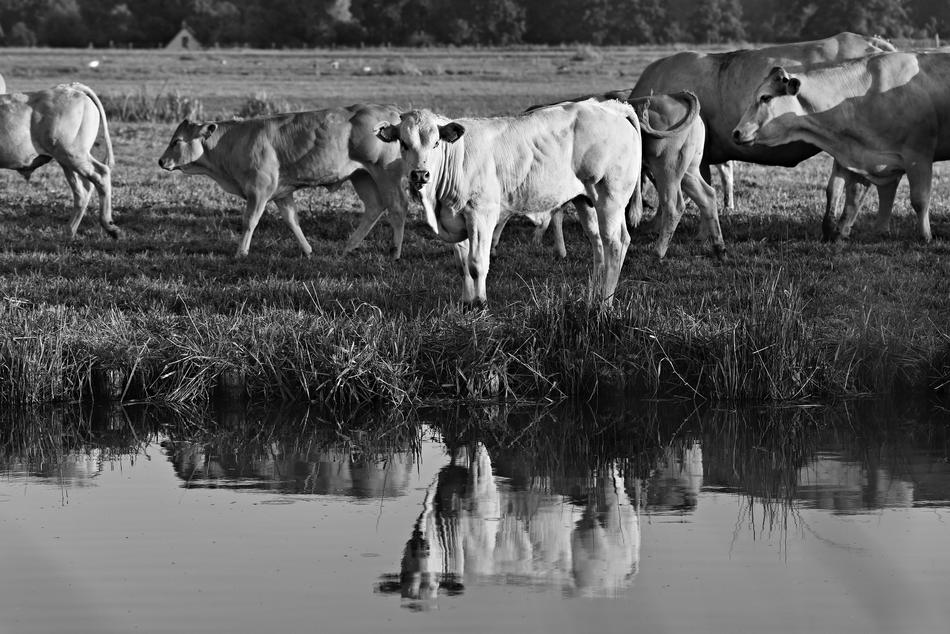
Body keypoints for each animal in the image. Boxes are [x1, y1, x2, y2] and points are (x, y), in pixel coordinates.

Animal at [0, 82, 116, 239]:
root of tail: (70, 87)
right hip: (67, 160)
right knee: (83, 190)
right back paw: (69, 232)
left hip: (72, 153)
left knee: (101, 173)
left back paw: (109, 226)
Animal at [158, 104, 408, 258]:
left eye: (176, 141)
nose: (161, 161)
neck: (233, 141)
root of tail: (391, 111)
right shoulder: (282, 193)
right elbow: (292, 220)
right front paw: (307, 250)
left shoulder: (259, 190)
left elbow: (249, 221)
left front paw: (241, 252)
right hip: (361, 175)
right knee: (374, 207)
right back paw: (349, 246)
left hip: (385, 173)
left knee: (397, 207)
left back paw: (395, 252)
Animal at [374, 100, 642, 306]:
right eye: (404, 144)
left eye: (436, 143)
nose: (420, 175)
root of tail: (610, 106)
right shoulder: (455, 217)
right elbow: (462, 264)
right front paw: (466, 301)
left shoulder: (481, 214)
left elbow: (476, 263)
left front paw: (480, 303)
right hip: (586, 201)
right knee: (598, 244)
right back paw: (594, 294)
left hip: (610, 199)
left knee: (615, 243)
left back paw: (605, 303)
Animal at [496, 90, 725, 260]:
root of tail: (674, 97)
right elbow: (557, 214)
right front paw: (557, 249)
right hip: (688, 172)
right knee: (707, 196)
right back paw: (718, 247)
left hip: (667, 171)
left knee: (673, 206)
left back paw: (658, 252)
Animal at [733, 51, 950, 244]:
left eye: (765, 97)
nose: (736, 132)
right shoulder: (860, 156)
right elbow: (840, 192)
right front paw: (849, 232)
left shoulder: (918, 155)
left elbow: (919, 199)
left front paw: (925, 237)